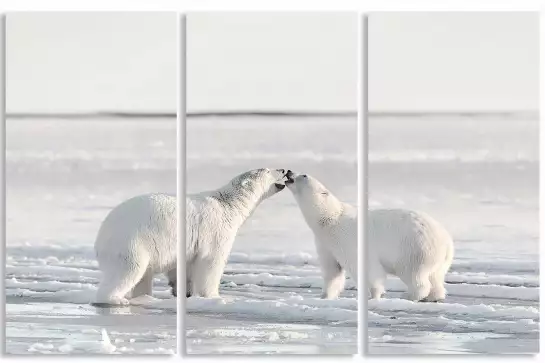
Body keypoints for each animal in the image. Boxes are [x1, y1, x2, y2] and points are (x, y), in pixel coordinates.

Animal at [186, 168, 286, 298]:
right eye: (267, 171)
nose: (284, 170)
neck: (227, 204)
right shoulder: (215, 232)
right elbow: (211, 262)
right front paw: (212, 295)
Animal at [284, 170, 356, 298]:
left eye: (304, 175)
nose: (289, 171)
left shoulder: (347, 241)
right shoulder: (325, 244)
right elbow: (333, 270)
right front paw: (326, 296)